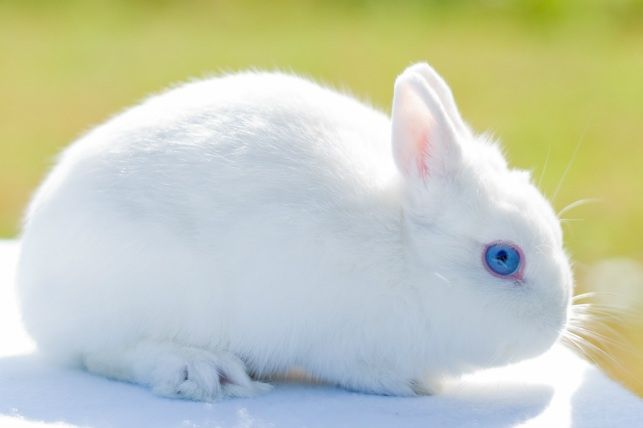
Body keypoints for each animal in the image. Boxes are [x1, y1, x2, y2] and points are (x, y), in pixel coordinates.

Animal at [16, 62, 572, 402]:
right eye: (503, 258)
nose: (559, 323)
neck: (405, 253)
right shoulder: (343, 343)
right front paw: (415, 386)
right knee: (105, 355)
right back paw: (199, 368)